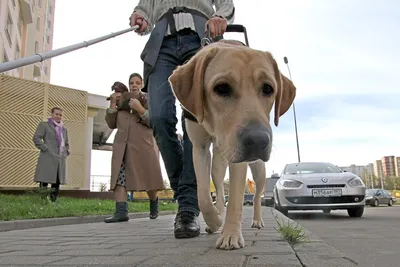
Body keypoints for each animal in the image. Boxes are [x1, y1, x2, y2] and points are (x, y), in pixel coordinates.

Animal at [167, 40, 296, 251]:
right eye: (221, 88)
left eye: (268, 89)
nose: (258, 141)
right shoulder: (199, 147)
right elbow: (204, 196)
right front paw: (215, 221)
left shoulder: (240, 160)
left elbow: (235, 198)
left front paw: (230, 235)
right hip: (219, 162)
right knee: (219, 188)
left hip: (258, 169)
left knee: (257, 195)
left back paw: (257, 220)